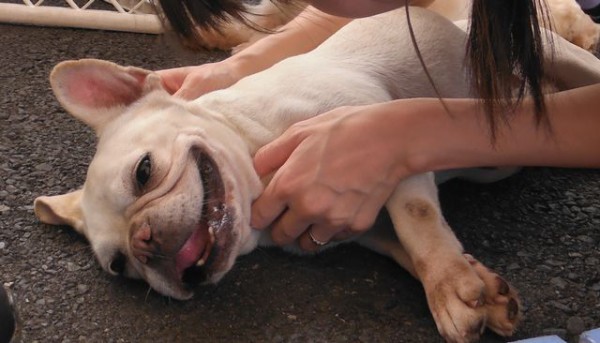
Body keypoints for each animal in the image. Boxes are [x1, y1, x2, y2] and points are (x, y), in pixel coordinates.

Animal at [35, 6, 600, 343]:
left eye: (144, 172)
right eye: (121, 267)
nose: (144, 241)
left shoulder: (373, 128)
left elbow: (414, 213)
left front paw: (448, 286)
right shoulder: (358, 223)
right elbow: (402, 245)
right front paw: (468, 280)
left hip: (547, 55)